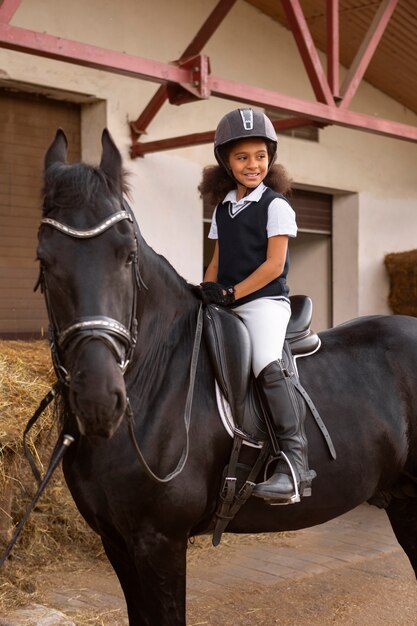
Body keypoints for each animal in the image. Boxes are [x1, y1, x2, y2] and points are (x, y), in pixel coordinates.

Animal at [36, 129, 416, 620]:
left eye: (127, 255)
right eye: (44, 260)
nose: (99, 400)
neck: (154, 378)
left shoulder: (159, 542)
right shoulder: (116, 540)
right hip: (403, 499)